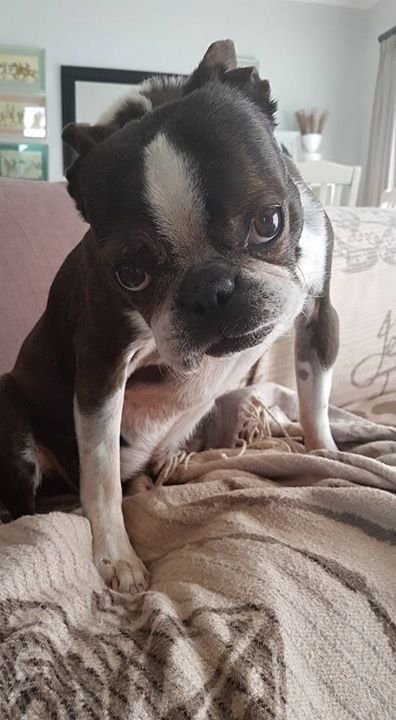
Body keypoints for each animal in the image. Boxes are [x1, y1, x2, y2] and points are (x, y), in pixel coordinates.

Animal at [0, 42, 338, 596]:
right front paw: (116, 556)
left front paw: (325, 451)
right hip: (11, 413)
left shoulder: (319, 312)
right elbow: (100, 475)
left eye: (269, 222)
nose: (211, 290)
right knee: (27, 507)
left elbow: (315, 397)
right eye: (130, 273)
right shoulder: (102, 365)